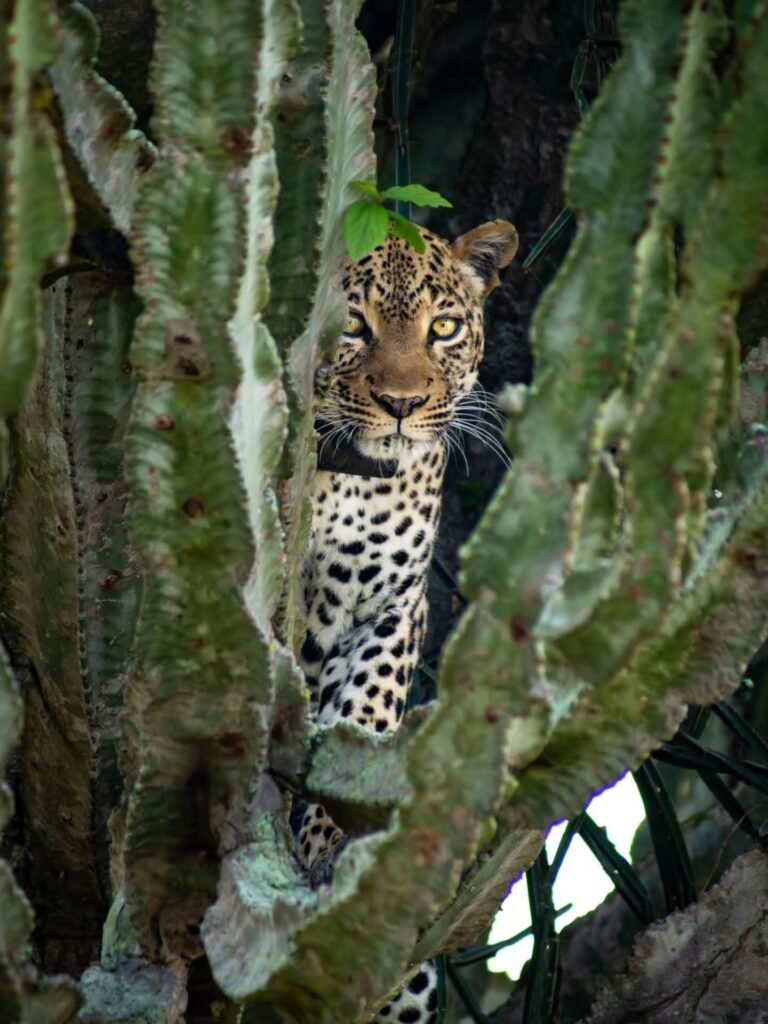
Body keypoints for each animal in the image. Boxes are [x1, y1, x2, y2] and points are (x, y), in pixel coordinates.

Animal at [296, 218, 519, 1024]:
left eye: (443, 328)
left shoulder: (395, 605)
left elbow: (363, 716)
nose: (399, 403)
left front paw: (330, 841)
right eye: (352, 324)